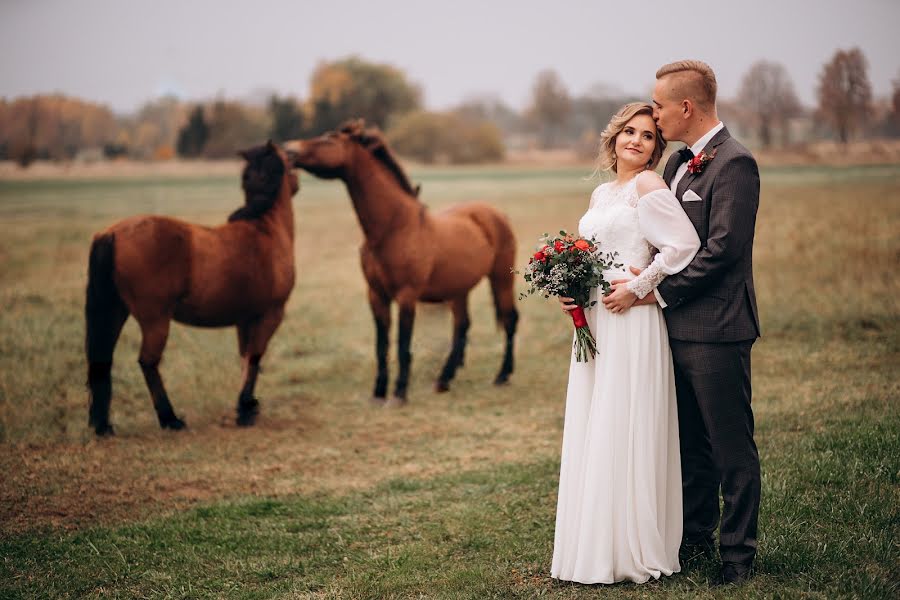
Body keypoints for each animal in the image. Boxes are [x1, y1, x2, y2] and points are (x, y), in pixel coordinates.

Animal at [84, 142, 298, 434]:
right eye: (290, 162)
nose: (297, 180)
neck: (265, 230)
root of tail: (112, 234)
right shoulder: (271, 315)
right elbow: (255, 357)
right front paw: (246, 409)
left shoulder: (245, 320)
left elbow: (245, 358)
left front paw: (246, 408)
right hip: (155, 322)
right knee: (148, 362)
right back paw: (170, 419)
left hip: (115, 312)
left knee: (102, 360)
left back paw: (103, 426)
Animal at [282, 119, 520, 406]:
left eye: (329, 139)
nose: (289, 149)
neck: (393, 228)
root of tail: (498, 215)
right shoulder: (376, 295)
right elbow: (381, 345)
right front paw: (378, 393)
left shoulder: (407, 296)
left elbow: (403, 344)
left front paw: (398, 394)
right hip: (458, 289)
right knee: (462, 326)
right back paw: (444, 379)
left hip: (501, 278)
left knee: (509, 319)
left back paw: (502, 376)